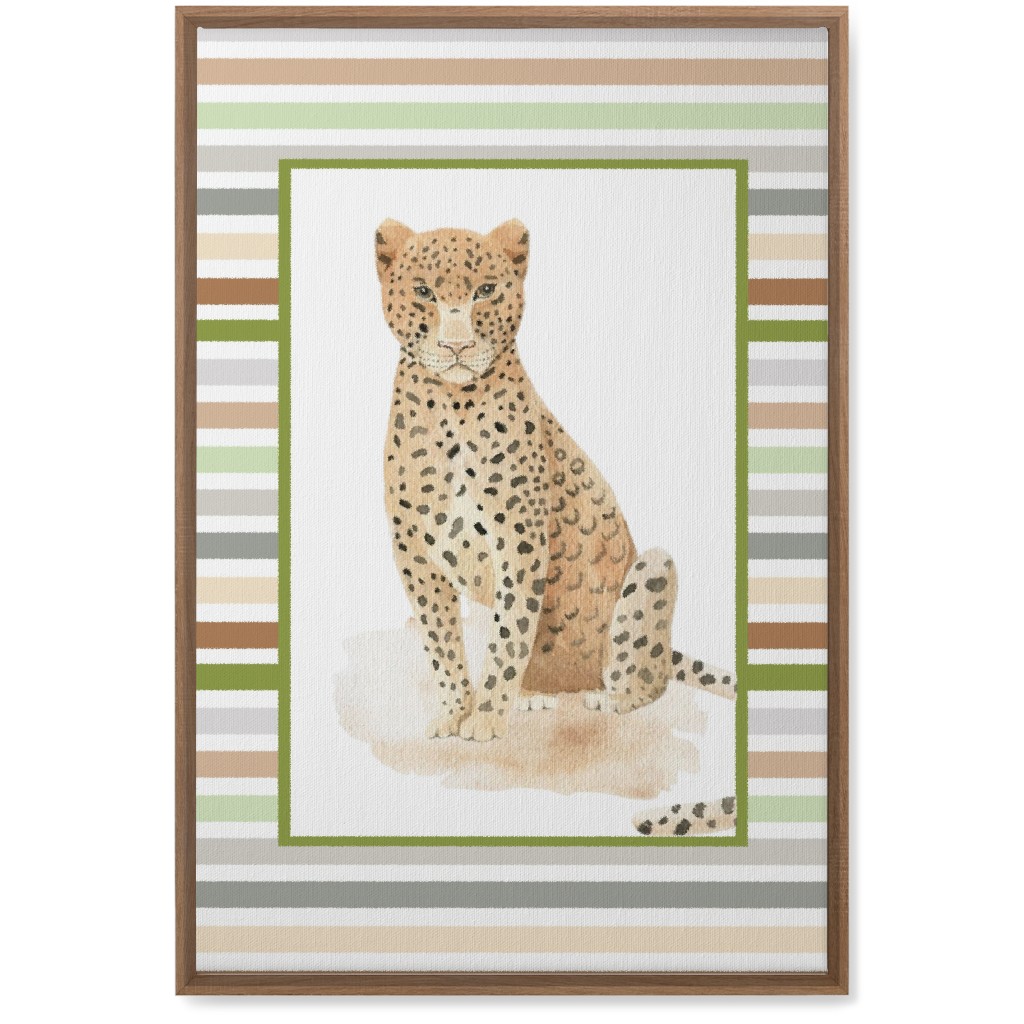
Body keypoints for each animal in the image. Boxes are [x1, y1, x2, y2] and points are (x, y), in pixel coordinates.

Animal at [375, 218, 737, 836]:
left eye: (486, 292)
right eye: (423, 292)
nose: (456, 346)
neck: (450, 405)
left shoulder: (519, 543)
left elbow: (508, 634)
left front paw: (485, 716)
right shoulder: (415, 554)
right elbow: (443, 641)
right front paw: (453, 712)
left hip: (653, 565)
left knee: (645, 677)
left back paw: (605, 698)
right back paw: (534, 695)